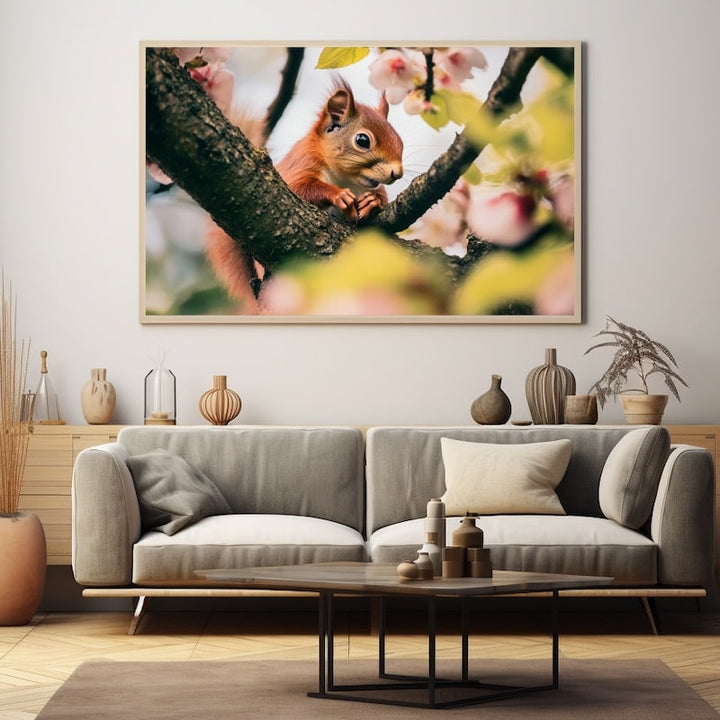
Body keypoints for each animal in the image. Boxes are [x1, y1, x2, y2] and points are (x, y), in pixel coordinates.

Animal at [205, 78, 404, 307]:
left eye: (400, 140)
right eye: (362, 140)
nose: (397, 173)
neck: (346, 178)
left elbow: (380, 196)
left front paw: (372, 202)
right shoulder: (301, 164)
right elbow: (302, 188)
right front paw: (339, 195)